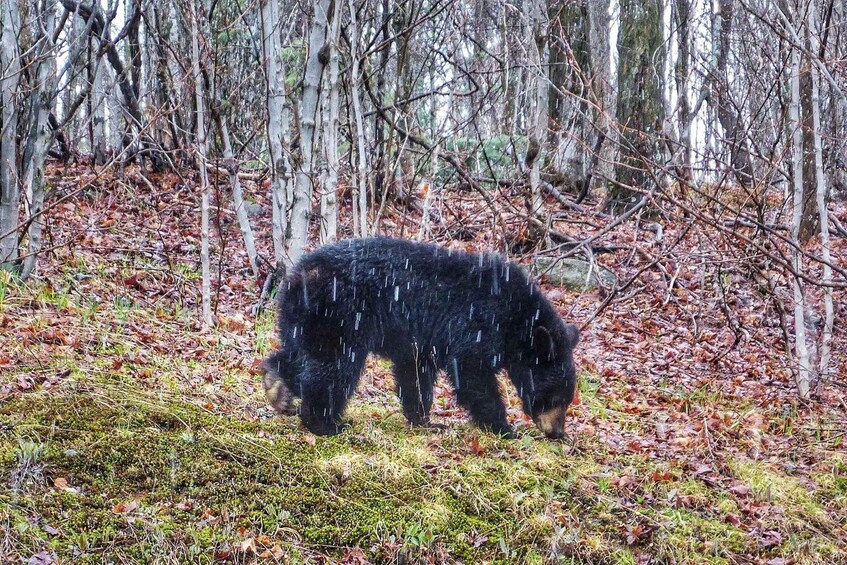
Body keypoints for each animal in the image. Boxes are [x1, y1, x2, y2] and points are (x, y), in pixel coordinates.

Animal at [264, 236, 584, 438]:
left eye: (568, 397)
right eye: (557, 395)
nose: (557, 432)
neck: (517, 318)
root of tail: (299, 275)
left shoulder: (423, 340)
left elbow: (415, 374)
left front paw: (424, 420)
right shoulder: (476, 323)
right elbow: (472, 374)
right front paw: (504, 427)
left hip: (302, 318)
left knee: (301, 354)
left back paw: (275, 385)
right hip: (341, 314)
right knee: (334, 367)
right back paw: (324, 423)